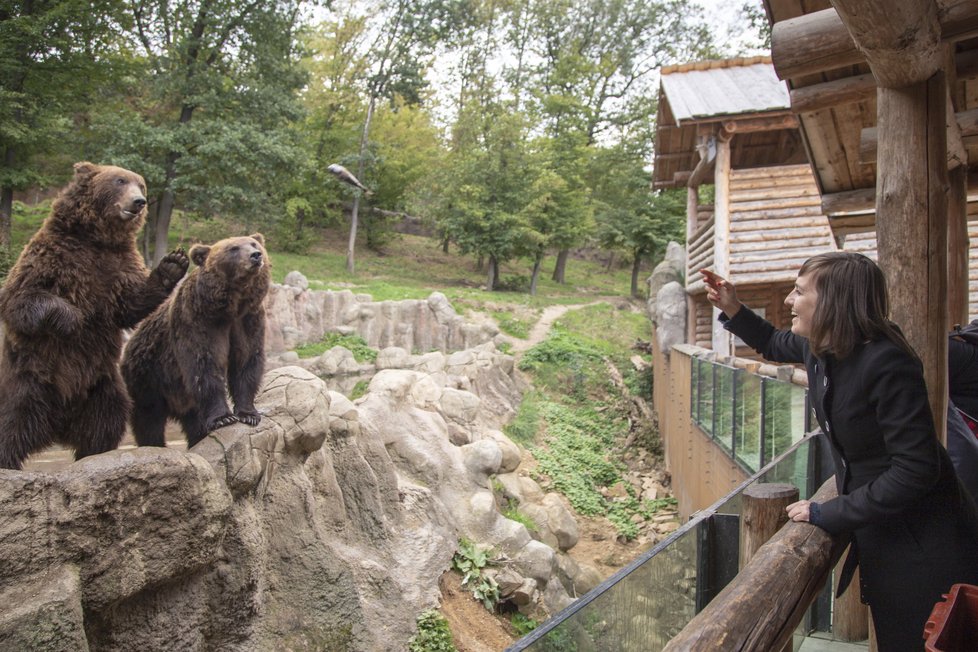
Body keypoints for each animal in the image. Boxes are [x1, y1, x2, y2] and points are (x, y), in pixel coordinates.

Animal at [125, 234, 274, 448]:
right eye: (233, 248)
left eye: (254, 244)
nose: (256, 255)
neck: (232, 305)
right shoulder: (198, 319)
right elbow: (204, 363)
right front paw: (223, 418)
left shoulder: (248, 320)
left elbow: (246, 360)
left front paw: (248, 414)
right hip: (148, 378)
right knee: (148, 419)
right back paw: (153, 444)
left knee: (193, 422)